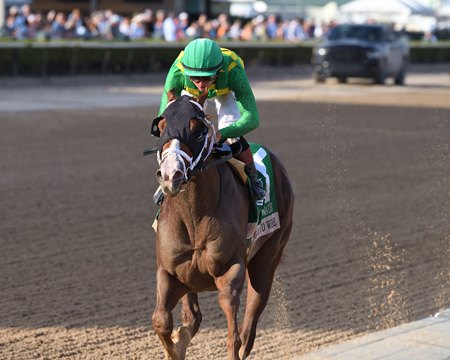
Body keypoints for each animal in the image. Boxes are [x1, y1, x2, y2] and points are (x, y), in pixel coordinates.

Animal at [149, 91, 294, 358]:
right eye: (161, 127)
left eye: (197, 130)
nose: (171, 174)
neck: (194, 216)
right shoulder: (170, 272)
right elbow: (161, 321)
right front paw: (178, 342)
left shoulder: (230, 268)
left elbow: (233, 335)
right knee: (193, 315)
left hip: (267, 258)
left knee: (249, 329)